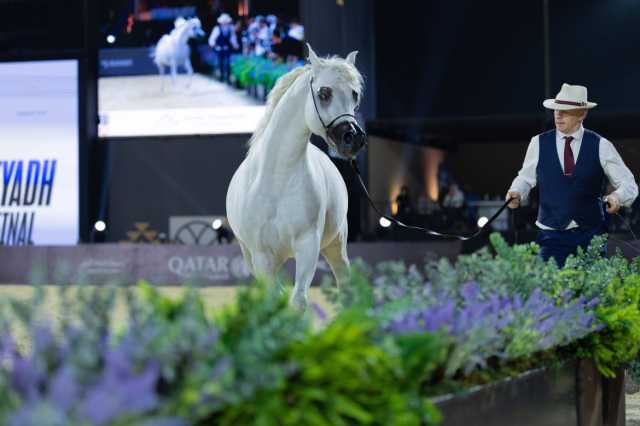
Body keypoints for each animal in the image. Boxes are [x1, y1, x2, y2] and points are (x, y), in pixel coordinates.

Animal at [225, 44, 364, 310]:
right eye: (324, 93)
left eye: (355, 95)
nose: (353, 139)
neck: (276, 180)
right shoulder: (262, 256)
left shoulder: (307, 245)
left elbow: (298, 300)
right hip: (254, 259)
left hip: (335, 245)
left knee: (345, 286)